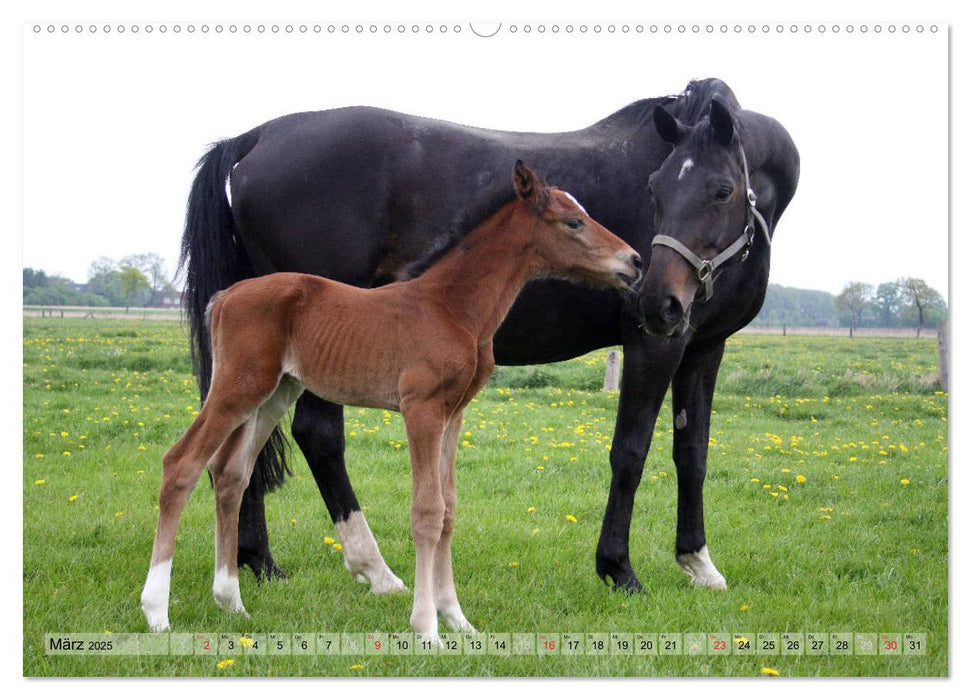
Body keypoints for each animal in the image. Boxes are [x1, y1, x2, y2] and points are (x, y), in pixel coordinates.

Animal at [142, 161, 644, 644]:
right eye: (574, 221)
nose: (635, 261)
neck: (452, 307)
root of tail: (226, 295)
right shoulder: (421, 408)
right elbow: (426, 512)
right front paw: (426, 627)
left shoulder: (454, 413)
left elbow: (449, 509)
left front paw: (457, 619)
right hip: (238, 386)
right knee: (181, 464)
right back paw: (157, 612)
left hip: (275, 393)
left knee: (231, 473)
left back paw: (231, 602)